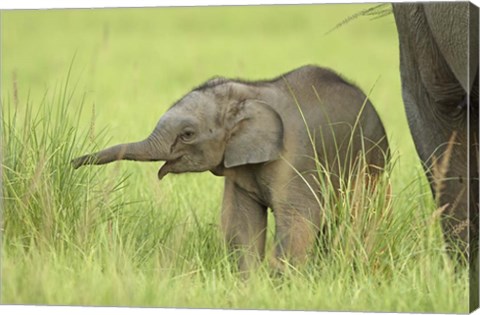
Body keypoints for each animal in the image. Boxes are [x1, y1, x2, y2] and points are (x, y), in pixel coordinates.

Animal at [72, 66, 390, 274]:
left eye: (187, 134)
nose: (72, 162)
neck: (250, 93)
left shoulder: (297, 156)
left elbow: (300, 216)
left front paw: (279, 284)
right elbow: (241, 220)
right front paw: (250, 283)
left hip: (373, 161)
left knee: (360, 215)